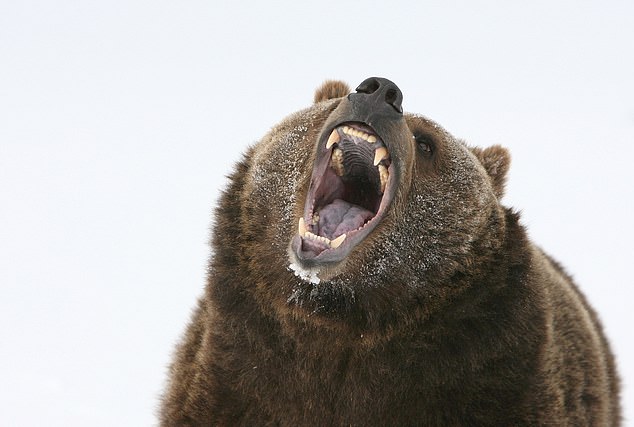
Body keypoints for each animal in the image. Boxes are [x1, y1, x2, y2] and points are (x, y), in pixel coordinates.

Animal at [158, 78, 616, 426]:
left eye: (427, 143)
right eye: (330, 103)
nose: (380, 91)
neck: (341, 319)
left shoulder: (498, 379)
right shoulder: (234, 374)